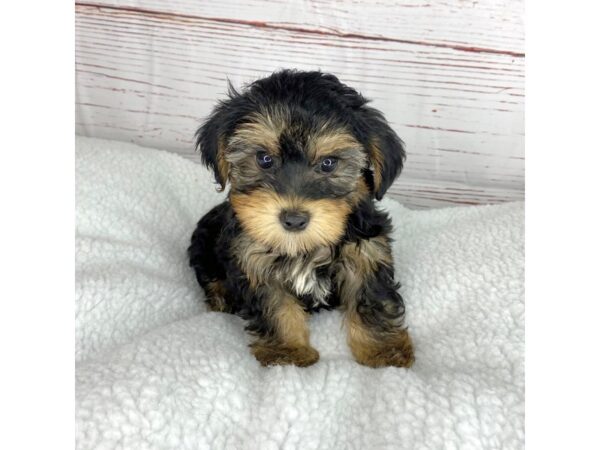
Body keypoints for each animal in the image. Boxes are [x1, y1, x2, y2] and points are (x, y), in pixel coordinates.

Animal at [188, 69, 412, 366]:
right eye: (264, 158)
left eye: (328, 163)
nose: (293, 219)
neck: (304, 248)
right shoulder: (253, 261)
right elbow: (275, 307)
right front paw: (287, 352)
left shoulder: (367, 252)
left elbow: (372, 299)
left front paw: (384, 351)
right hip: (203, 245)